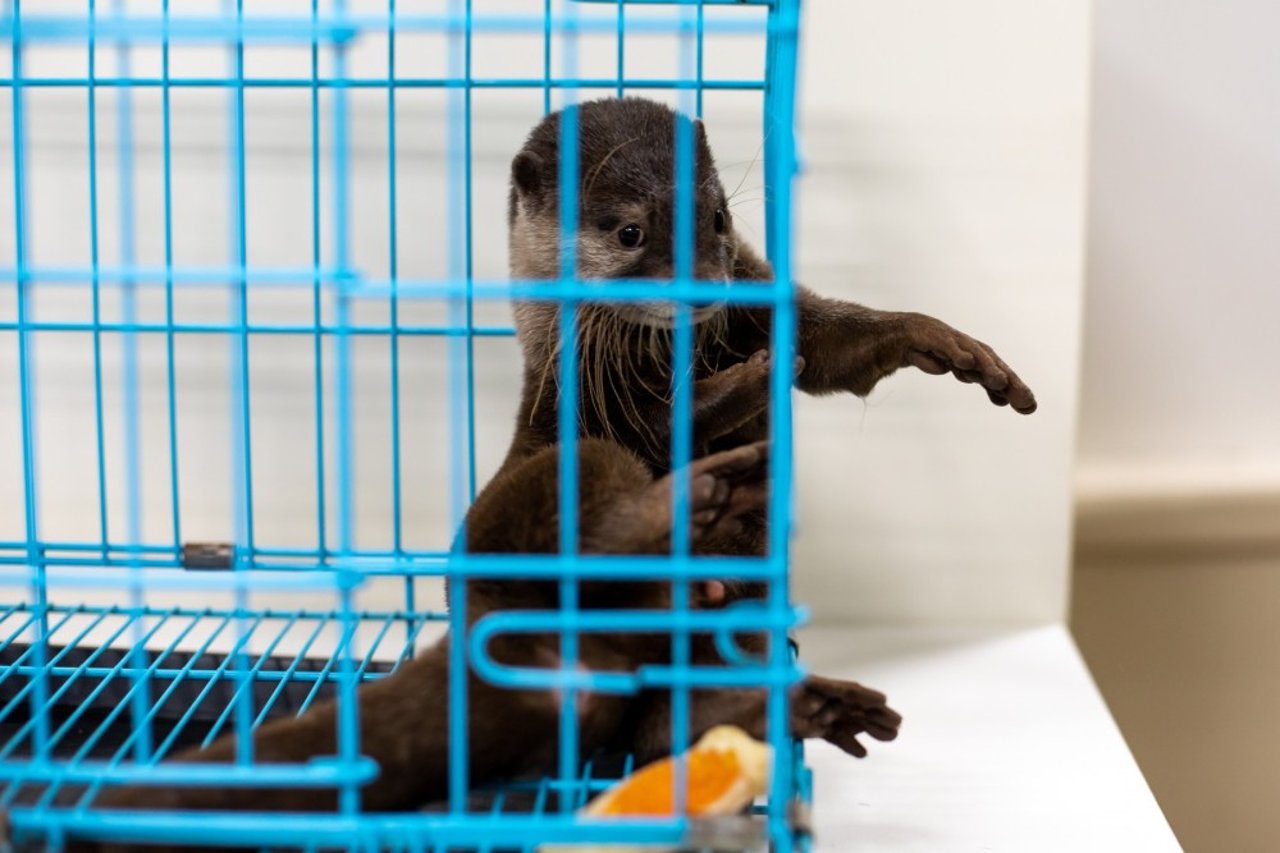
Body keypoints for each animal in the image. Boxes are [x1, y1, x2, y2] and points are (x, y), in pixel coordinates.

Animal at [70, 97, 1034, 845]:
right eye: (631, 230)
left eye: (719, 218)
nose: (701, 284)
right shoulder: (598, 398)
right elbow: (676, 416)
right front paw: (755, 377)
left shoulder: (766, 287)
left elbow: (844, 339)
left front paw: (952, 349)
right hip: (535, 498)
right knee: (600, 525)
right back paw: (700, 505)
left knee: (661, 726)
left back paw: (793, 698)